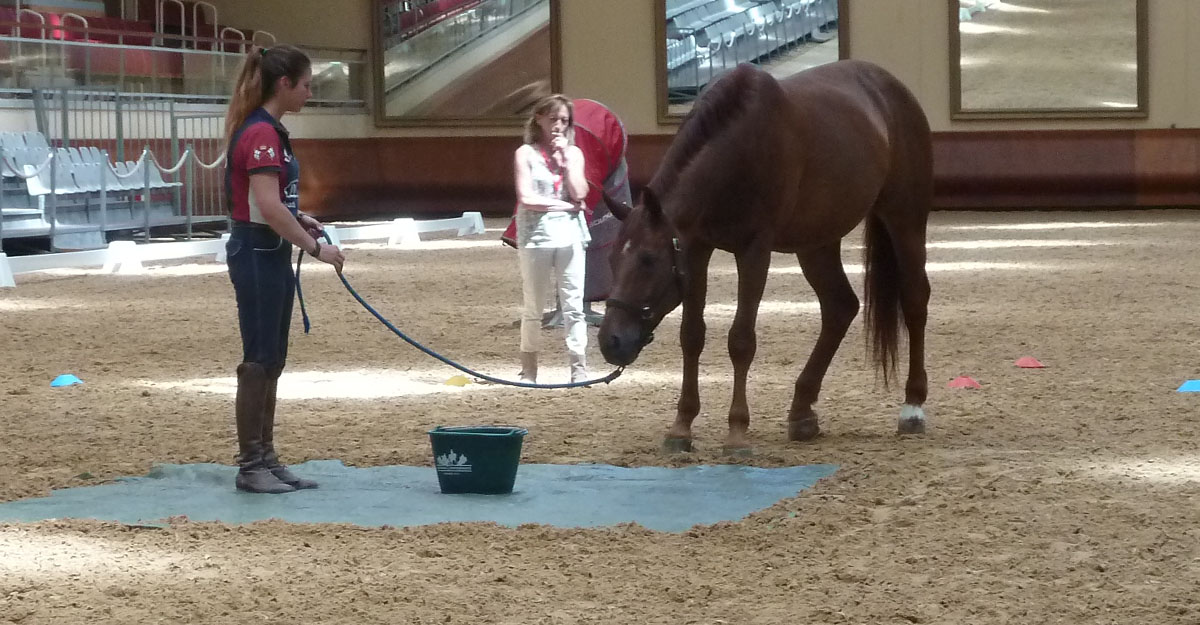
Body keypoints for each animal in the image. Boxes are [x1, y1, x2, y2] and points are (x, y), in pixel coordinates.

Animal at [599, 60, 932, 453]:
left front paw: (737, 432)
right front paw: (681, 427)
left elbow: (741, 340)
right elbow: (692, 335)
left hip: (905, 219)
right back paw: (802, 411)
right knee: (840, 307)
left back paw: (912, 407)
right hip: (816, 242)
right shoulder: (695, 249)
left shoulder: (754, 251)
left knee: (915, 301)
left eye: (649, 259)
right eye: (612, 261)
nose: (610, 341)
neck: (735, 152)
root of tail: (889, 86)